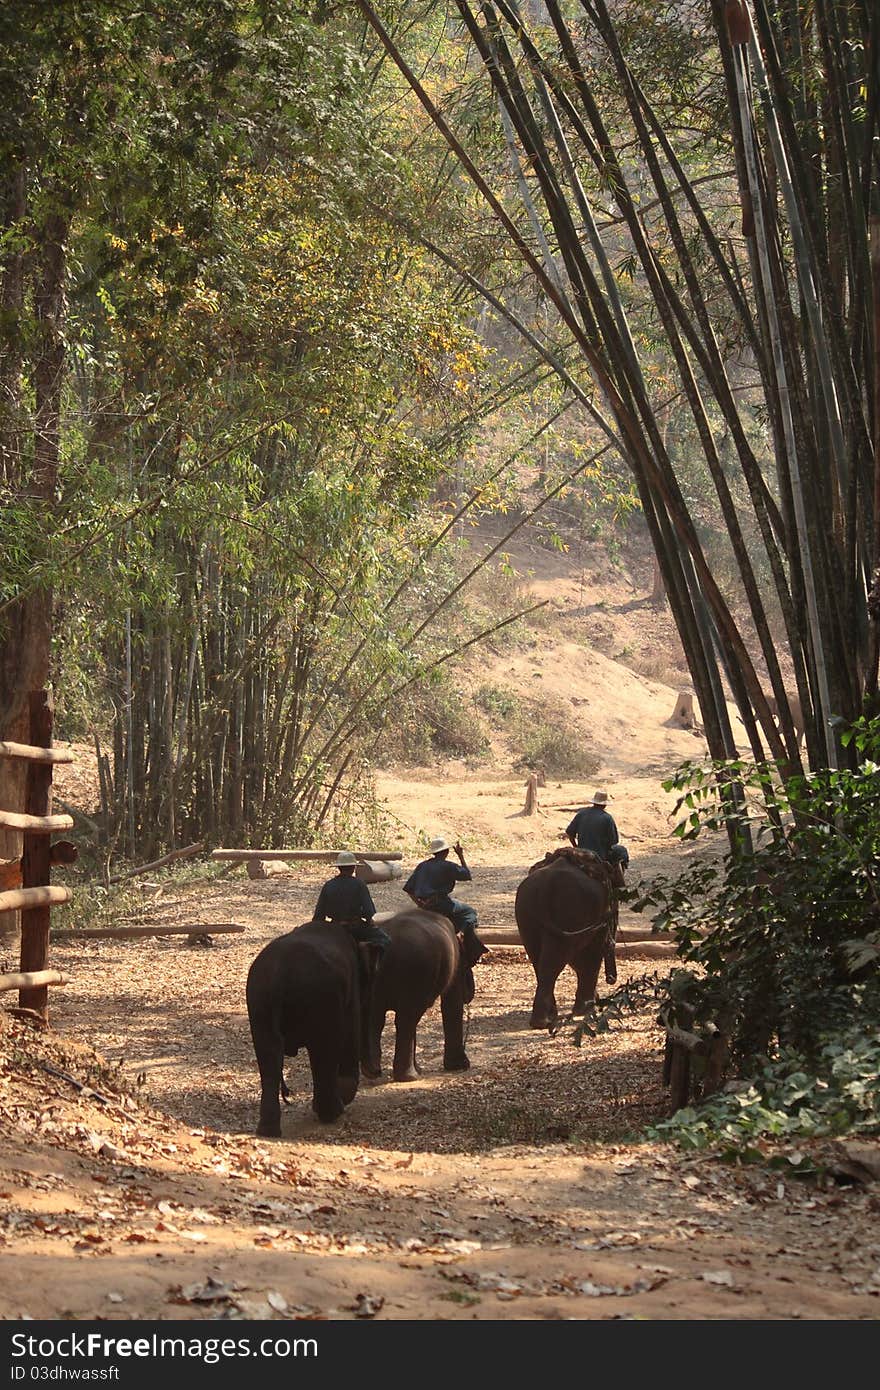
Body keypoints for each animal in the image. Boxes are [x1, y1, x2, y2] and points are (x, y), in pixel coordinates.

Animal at [241, 917, 361, 1134]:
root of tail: (280, 975)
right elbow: (351, 1029)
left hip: (259, 1000)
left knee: (268, 1054)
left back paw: (268, 1130)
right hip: (319, 999)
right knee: (325, 1050)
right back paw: (332, 1113)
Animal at [361, 906, 469, 1078]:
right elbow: (452, 1004)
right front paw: (460, 1066)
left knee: (376, 1018)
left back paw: (372, 1072)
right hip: (416, 969)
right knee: (406, 1019)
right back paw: (409, 1076)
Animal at [514, 845, 611, 1034]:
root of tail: (546, 889)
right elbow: (592, 952)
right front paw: (586, 1009)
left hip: (526, 916)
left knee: (540, 960)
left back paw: (544, 1019)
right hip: (569, 912)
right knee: (554, 960)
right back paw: (546, 1020)